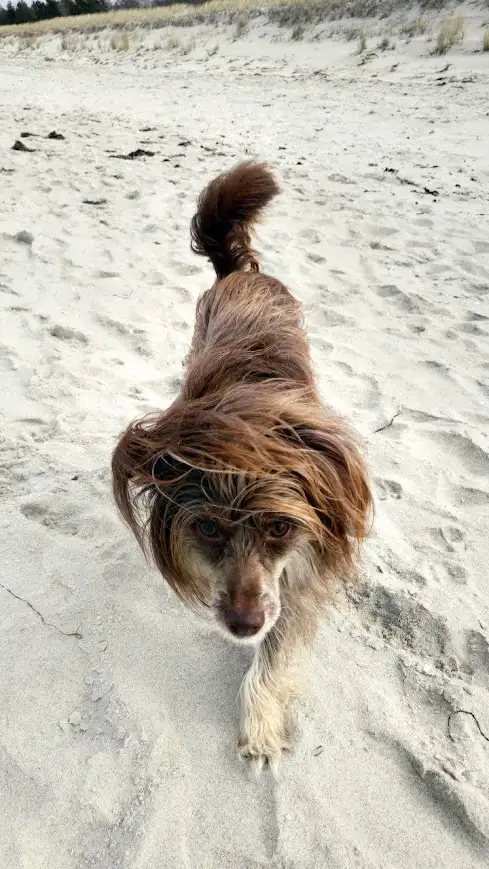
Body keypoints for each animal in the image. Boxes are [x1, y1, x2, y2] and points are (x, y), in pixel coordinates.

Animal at [111, 161, 370, 768]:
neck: (247, 423)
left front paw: (259, 724)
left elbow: (274, 654)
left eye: (279, 527)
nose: (243, 623)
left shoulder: (295, 575)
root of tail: (240, 272)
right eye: (207, 528)